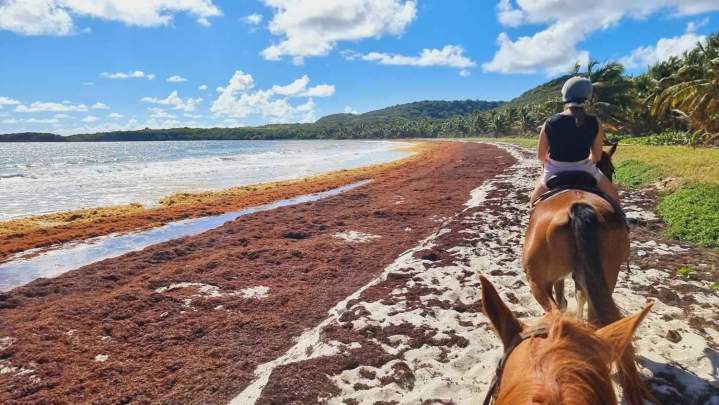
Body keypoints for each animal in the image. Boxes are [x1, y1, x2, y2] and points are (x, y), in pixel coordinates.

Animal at [522, 143, 655, 404]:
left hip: (536, 281)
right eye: (610, 169)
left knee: (556, 312)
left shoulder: (559, 277)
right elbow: (577, 296)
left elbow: (566, 300)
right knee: (597, 317)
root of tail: (579, 208)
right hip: (606, 274)